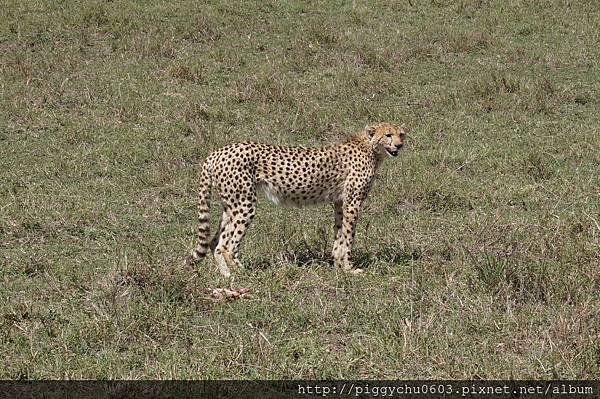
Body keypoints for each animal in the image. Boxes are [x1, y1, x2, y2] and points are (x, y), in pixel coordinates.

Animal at [185, 122, 406, 278]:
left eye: (401, 134)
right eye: (388, 134)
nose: (399, 145)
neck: (370, 148)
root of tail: (217, 152)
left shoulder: (339, 203)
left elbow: (339, 234)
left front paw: (337, 265)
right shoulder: (352, 203)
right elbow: (349, 237)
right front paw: (349, 268)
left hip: (231, 204)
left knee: (215, 242)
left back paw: (227, 276)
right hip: (245, 204)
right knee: (227, 245)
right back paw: (243, 273)